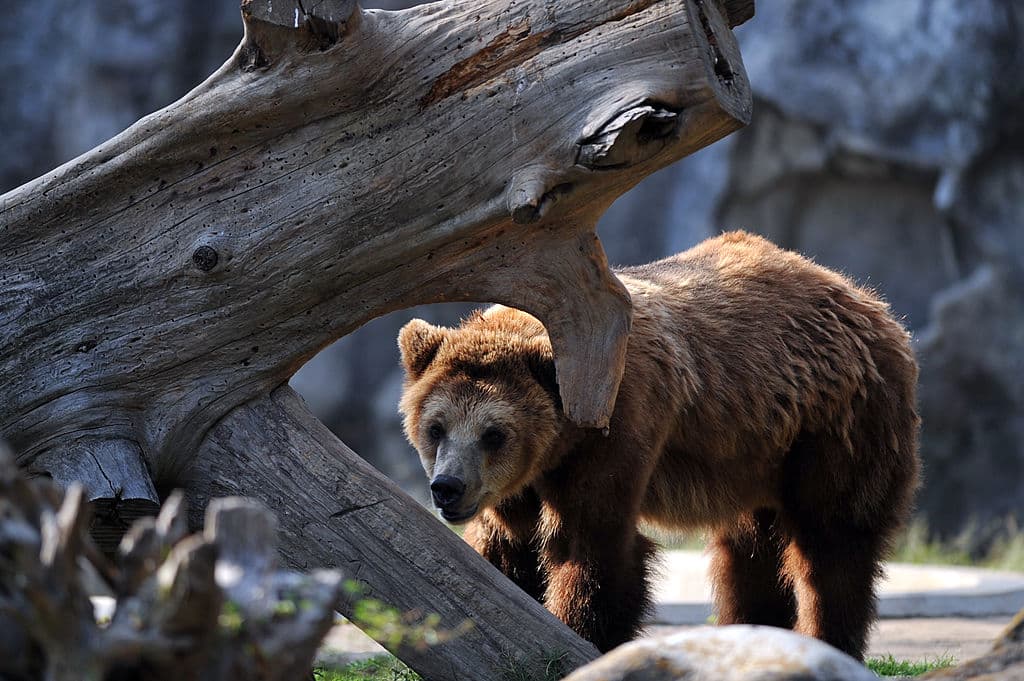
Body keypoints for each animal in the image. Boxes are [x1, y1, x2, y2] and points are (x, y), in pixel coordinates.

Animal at [397, 231, 920, 659]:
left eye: (494, 433)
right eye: (436, 427)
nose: (448, 487)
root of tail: (869, 301)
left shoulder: (621, 421)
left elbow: (592, 545)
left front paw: (579, 630)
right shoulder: (523, 481)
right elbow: (509, 544)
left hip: (835, 426)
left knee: (832, 545)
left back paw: (829, 638)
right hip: (755, 448)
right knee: (749, 552)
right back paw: (753, 628)